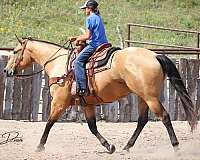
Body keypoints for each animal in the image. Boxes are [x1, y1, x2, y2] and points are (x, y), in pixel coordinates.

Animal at [3, 36, 198, 154]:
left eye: (15, 51)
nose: (6, 70)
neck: (58, 64)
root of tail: (155, 55)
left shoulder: (59, 102)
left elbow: (49, 123)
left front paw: (39, 146)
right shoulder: (87, 104)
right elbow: (92, 127)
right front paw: (109, 146)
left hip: (150, 97)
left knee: (164, 116)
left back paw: (176, 147)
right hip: (144, 97)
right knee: (142, 120)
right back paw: (126, 147)